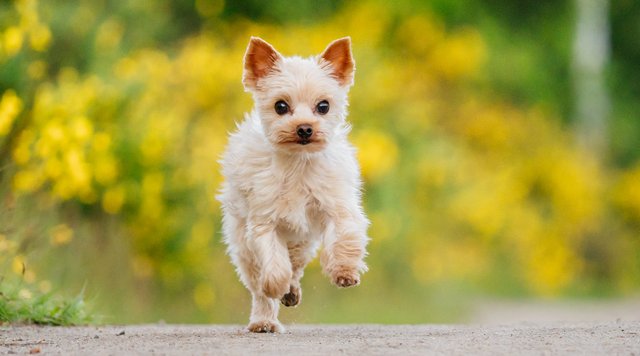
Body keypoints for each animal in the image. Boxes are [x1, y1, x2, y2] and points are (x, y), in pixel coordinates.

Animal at [220, 36, 370, 334]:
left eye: (323, 106)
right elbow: (274, 264)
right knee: (259, 284)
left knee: (297, 263)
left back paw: (292, 292)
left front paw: (345, 271)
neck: (300, 164)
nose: (304, 128)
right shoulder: (264, 223)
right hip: (242, 243)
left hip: (303, 240)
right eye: (280, 106)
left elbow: (344, 236)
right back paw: (264, 320)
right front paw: (276, 286)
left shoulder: (337, 205)